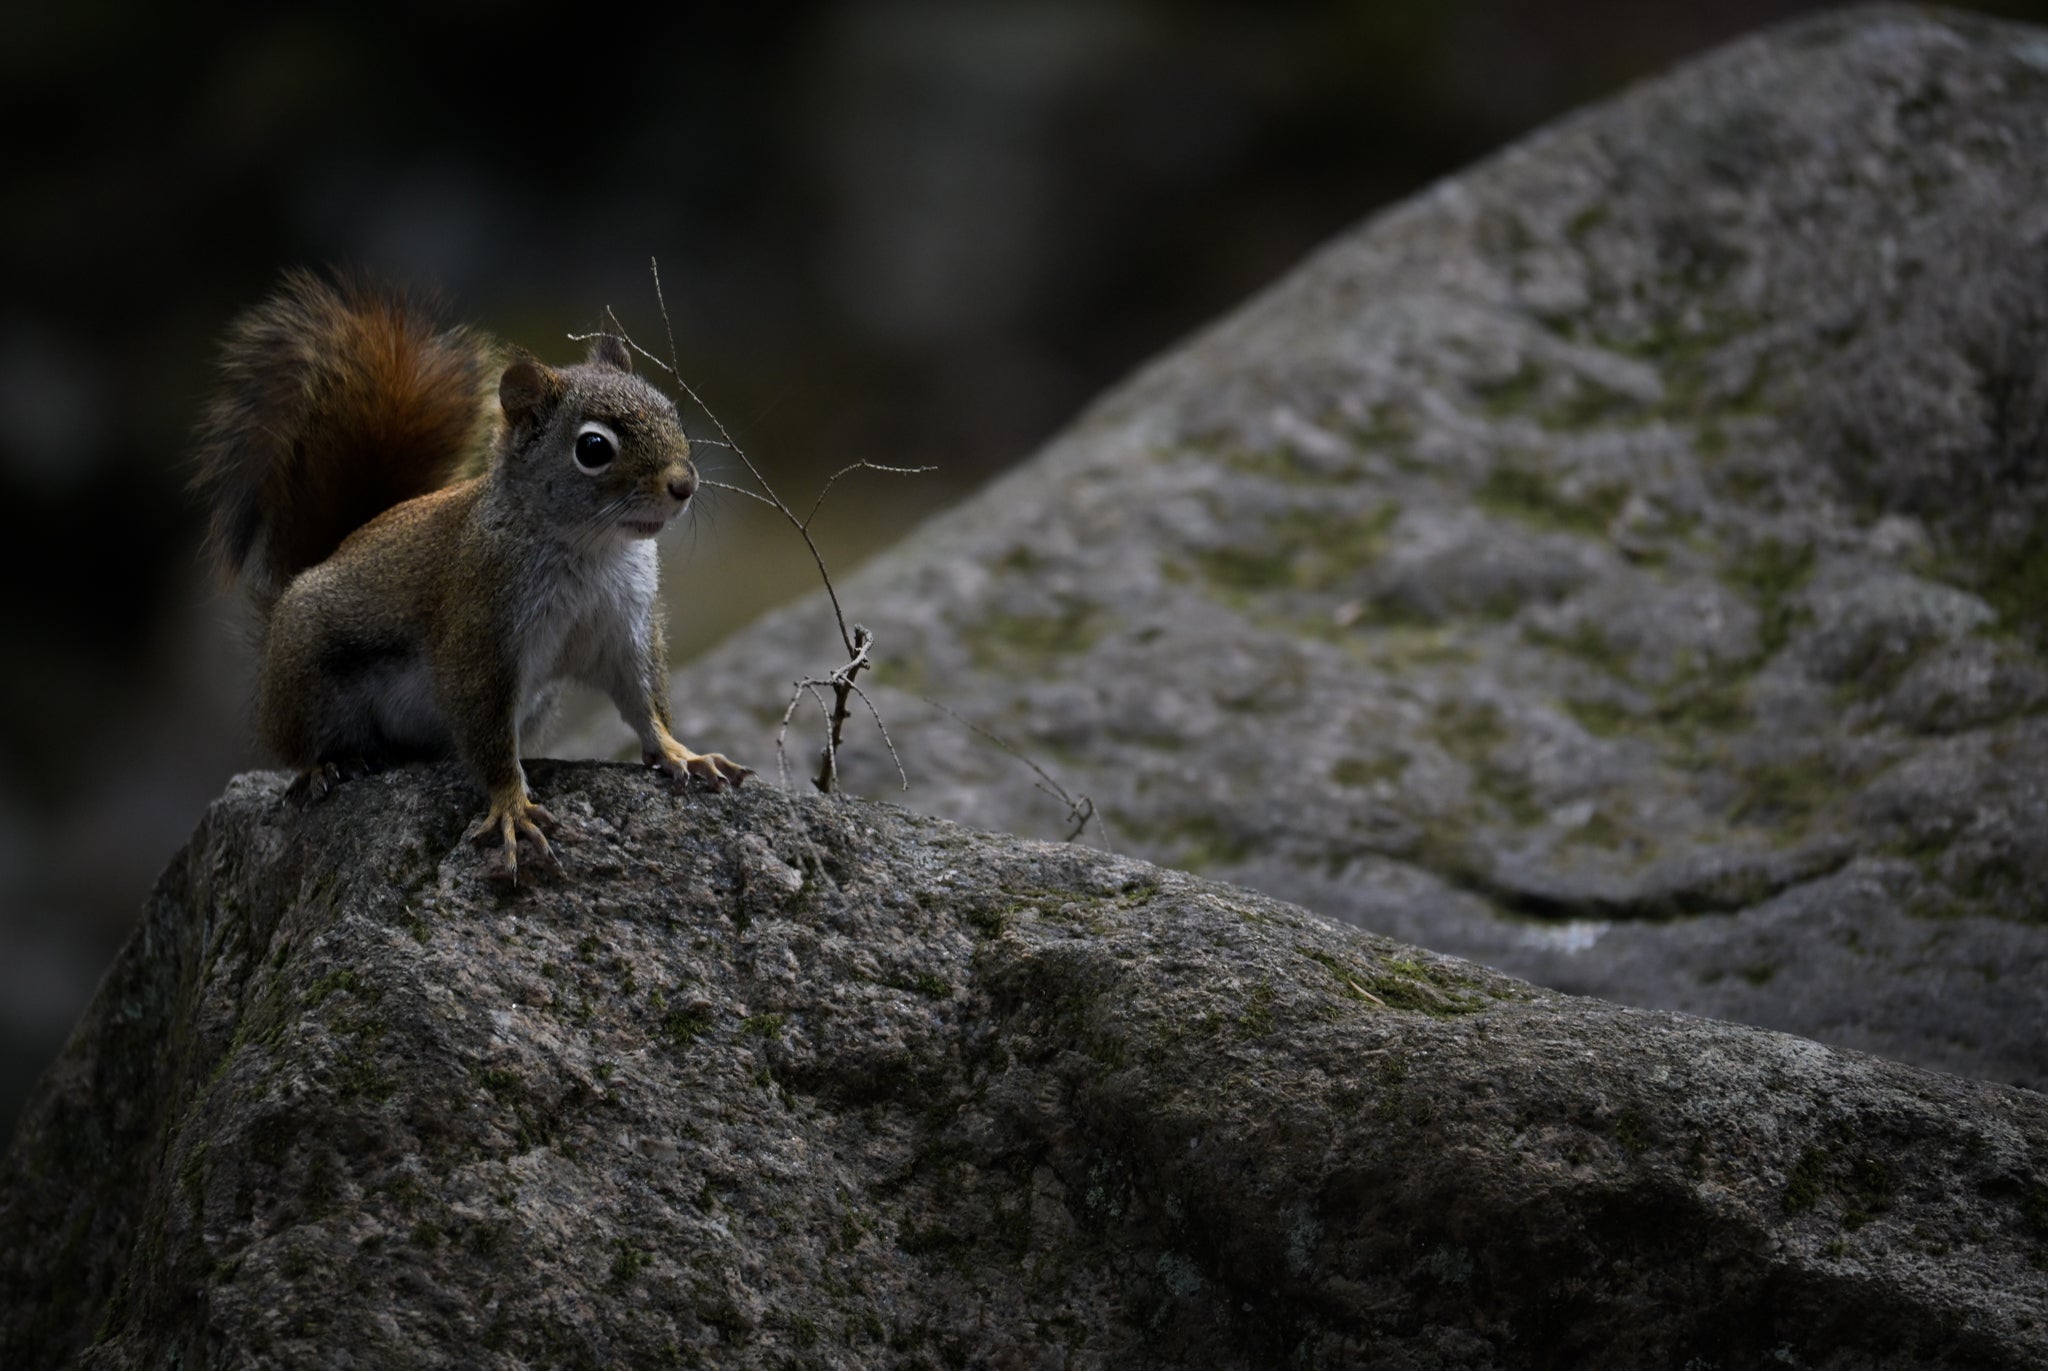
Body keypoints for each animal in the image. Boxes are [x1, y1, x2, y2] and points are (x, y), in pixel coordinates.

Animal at [192, 270, 751, 882]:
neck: (591, 550)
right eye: (593, 448)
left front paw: (681, 753)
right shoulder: (480, 633)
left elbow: (644, 700)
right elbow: (487, 736)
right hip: (305, 672)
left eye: (670, 409)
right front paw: (513, 808)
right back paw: (326, 767)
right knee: (298, 744)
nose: (684, 484)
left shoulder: (625, 627)